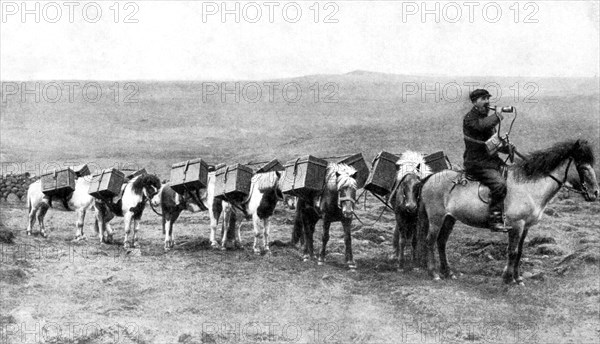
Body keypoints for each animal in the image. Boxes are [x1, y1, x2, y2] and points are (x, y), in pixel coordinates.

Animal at [420, 138, 596, 284]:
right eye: (583, 167)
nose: (595, 193)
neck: (529, 187)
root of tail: (430, 178)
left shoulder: (526, 226)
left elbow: (520, 252)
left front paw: (518, 278)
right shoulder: (516, 225)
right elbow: (512, 251)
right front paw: (508, 278)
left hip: (450, 218)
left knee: (441, 242)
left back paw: (448, 272)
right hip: (436, 218)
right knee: (429, 241)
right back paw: (433, 273)